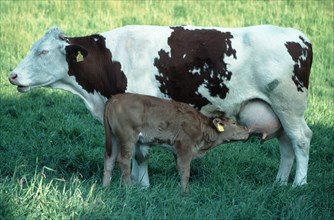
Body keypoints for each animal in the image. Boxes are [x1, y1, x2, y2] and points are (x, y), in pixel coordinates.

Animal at [103, 92, 249, 192]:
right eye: (233, 123)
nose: (247, 129)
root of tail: (115, 97)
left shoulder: (177, 150)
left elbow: (179, 168)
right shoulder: (185, 146)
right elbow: (185, 171)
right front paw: (185, 193)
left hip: (114, 137)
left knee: (109, 159)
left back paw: (106, 187)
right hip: (127, 137)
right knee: (123, 160)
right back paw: (128, 188)